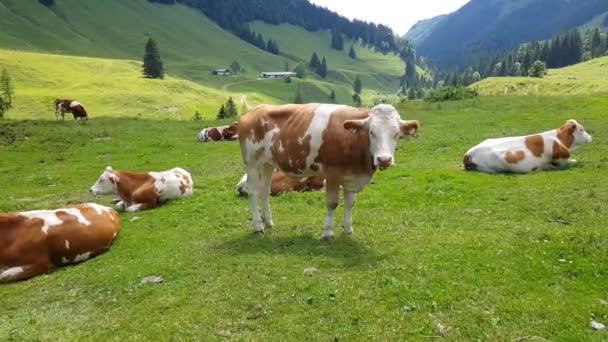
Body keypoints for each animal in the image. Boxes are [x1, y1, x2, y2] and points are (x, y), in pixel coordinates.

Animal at [236, 103, 418, 239]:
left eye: (396, 133)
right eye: (372, 132)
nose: (384, 159)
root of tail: (255, 110)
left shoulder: (352, 176)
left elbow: (350, 203)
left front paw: (348, 229)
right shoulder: (332, 174)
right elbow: (332, 203)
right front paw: (328, 232)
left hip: (268, 164)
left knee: (264, 192)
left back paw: (268, 222)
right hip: (252, 162)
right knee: (253, 192)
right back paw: (258, 226)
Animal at [464, 119, 592, 174]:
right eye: (582, 129)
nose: (590, 136)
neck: (560, 140)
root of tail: (468, 153)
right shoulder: (563, 160)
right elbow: (573, 161)